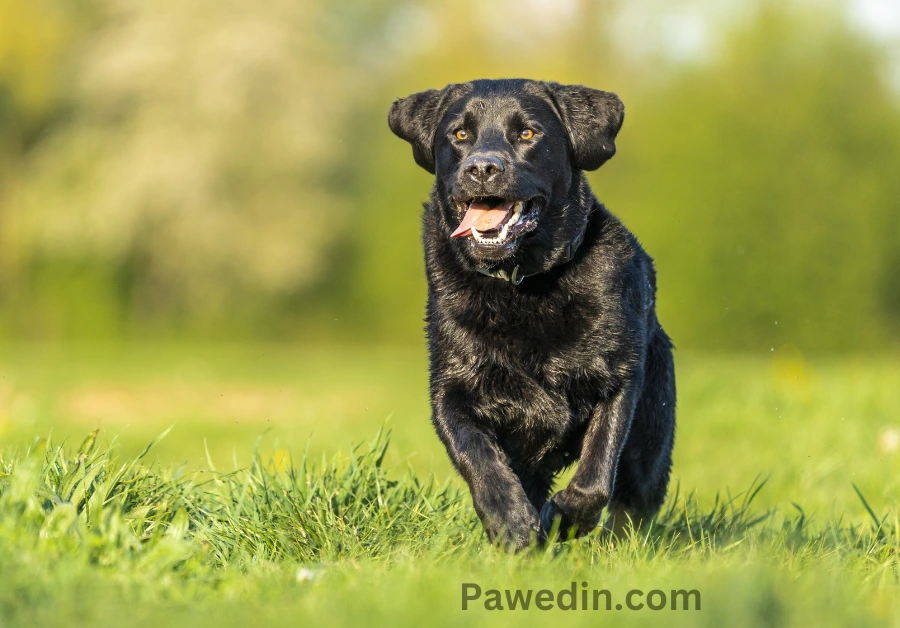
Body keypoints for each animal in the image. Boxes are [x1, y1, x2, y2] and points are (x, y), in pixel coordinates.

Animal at [386, 79, 676, 548]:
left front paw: (564, 517)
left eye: (527, 133)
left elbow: (596, 473)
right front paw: (512, 524)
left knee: (632, 506)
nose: (482, 168)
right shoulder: (451, 392)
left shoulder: (618, 380)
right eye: (460, 134)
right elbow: (479, 460)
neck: (521, 284)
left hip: (651, 445)